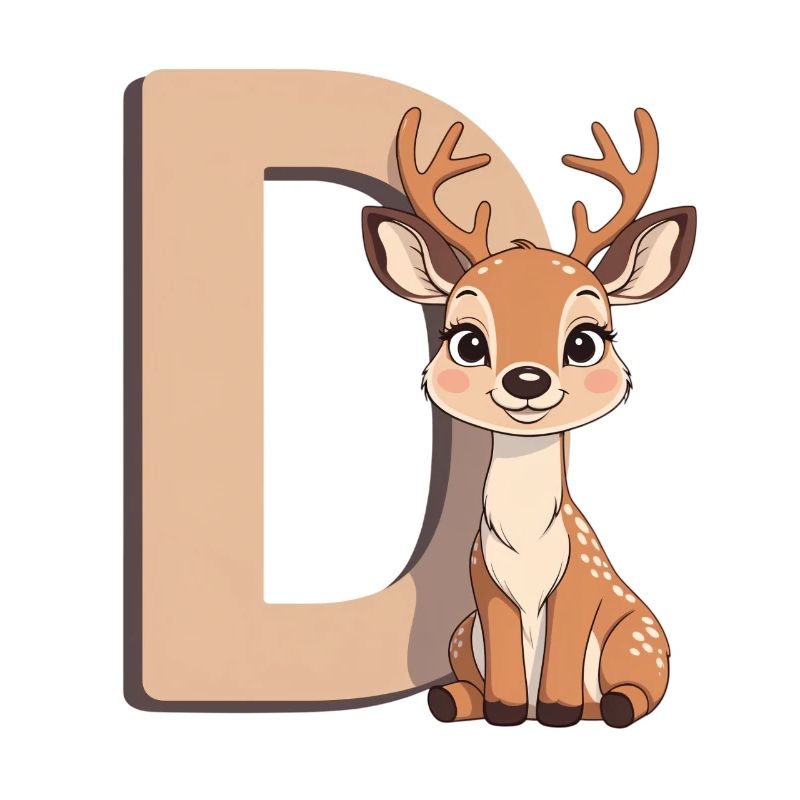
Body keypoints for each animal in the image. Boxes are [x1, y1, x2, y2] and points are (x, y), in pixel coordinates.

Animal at [361, 106, 696, 728]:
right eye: (466, 341)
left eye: (586, 341)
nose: (526, 380)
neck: (526, 546)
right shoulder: (484, 590)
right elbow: (505, 665)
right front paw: (507, 710)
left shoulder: (582, 585)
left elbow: (565, 650)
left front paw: (559, 710)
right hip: (459, 633)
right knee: (463, 677)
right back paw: (450, 698)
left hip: (638, 633)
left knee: (640, 689)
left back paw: (606, 706)